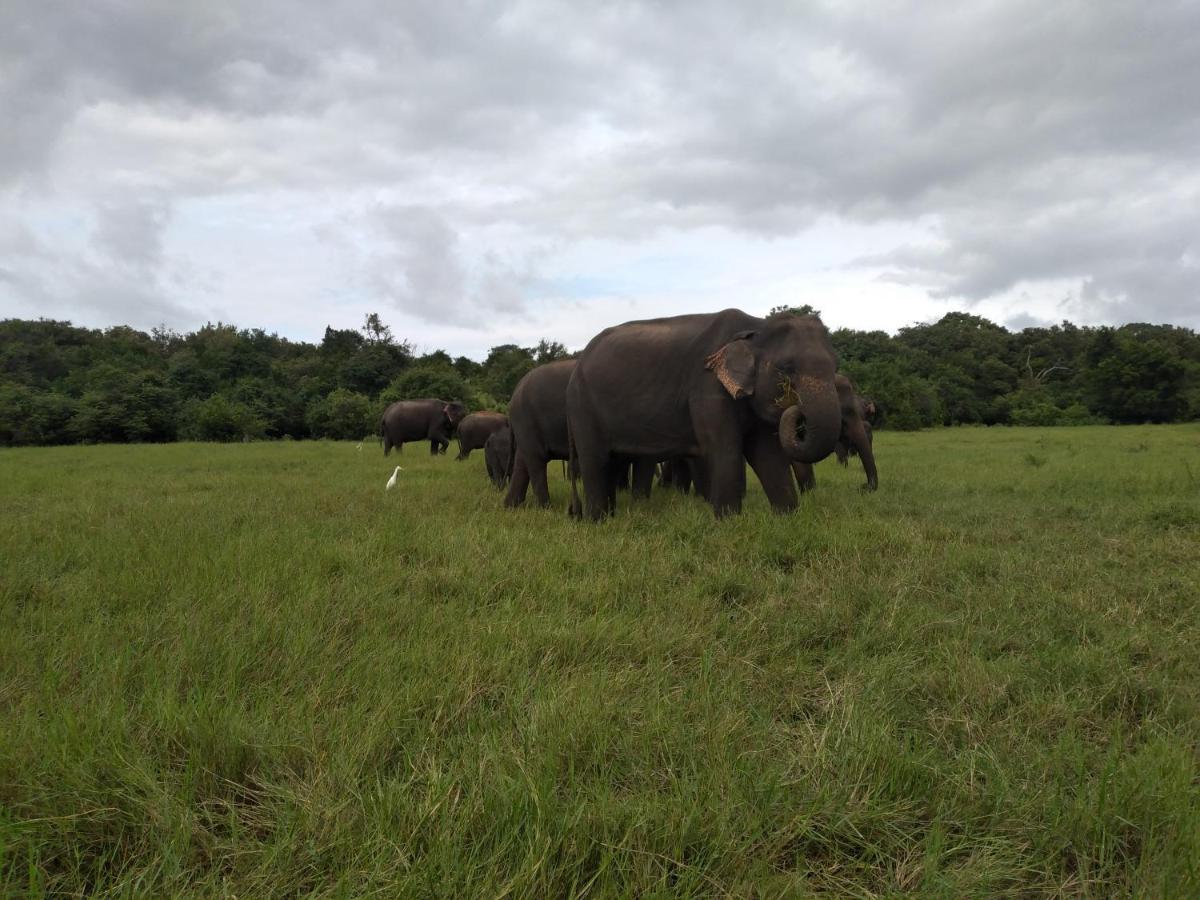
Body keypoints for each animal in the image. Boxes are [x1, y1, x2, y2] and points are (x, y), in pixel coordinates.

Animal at [564, 309, 840, 520]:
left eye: (836, 366)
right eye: (785, 369)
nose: (796, 410)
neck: (755, 326)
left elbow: (768, 455)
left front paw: (787, 519)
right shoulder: (707, 388)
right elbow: (724, 450)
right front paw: (729, 523)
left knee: (612, 461)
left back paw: (609, 517)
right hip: (582, 406)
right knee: (596, 460)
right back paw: (598, 522)